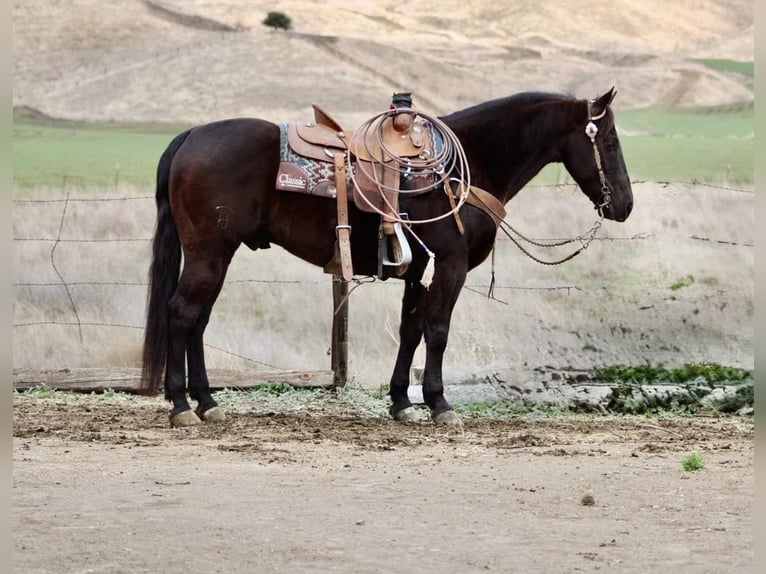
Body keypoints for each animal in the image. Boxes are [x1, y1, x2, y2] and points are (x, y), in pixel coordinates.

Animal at [141, 89, 632, 428]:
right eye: (609, 142)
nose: (624, 205)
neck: (463, 167)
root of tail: (191, 135)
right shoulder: (449, 266)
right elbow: (437, 331)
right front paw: (439, 403)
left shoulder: (418, 271)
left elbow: (410, 330)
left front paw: (401, 402)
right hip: (208, 254)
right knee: (181, 314)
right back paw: (181, 406)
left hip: (217, 256)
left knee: (198, 321)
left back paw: (208, 403)